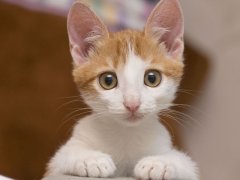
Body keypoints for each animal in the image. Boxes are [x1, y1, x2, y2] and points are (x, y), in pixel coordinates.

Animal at [46, 0, 198, 179]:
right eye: (108, 80)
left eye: (152, 78)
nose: (132, 104)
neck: (126, 134)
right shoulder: (56, 163)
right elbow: (64, 155)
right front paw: (91, 159)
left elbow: (185, 162)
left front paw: (159, 163)